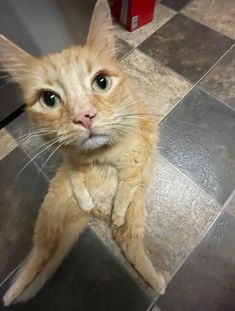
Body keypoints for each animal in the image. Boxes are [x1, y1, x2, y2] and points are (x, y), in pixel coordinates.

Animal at [0, 0, 167, 308]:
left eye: (101, 82)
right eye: (49, 99)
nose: (84, 117)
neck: (98, 156)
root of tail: (92, 217)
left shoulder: (136, 161)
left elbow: (125, 186)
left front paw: (116, 207)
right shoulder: (70, 162)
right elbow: (77, 176)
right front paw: (85, 193)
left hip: (135, 216)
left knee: (128, 243)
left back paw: (156, 281)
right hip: (49, 217)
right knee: (39, 256)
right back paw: (11, 294)